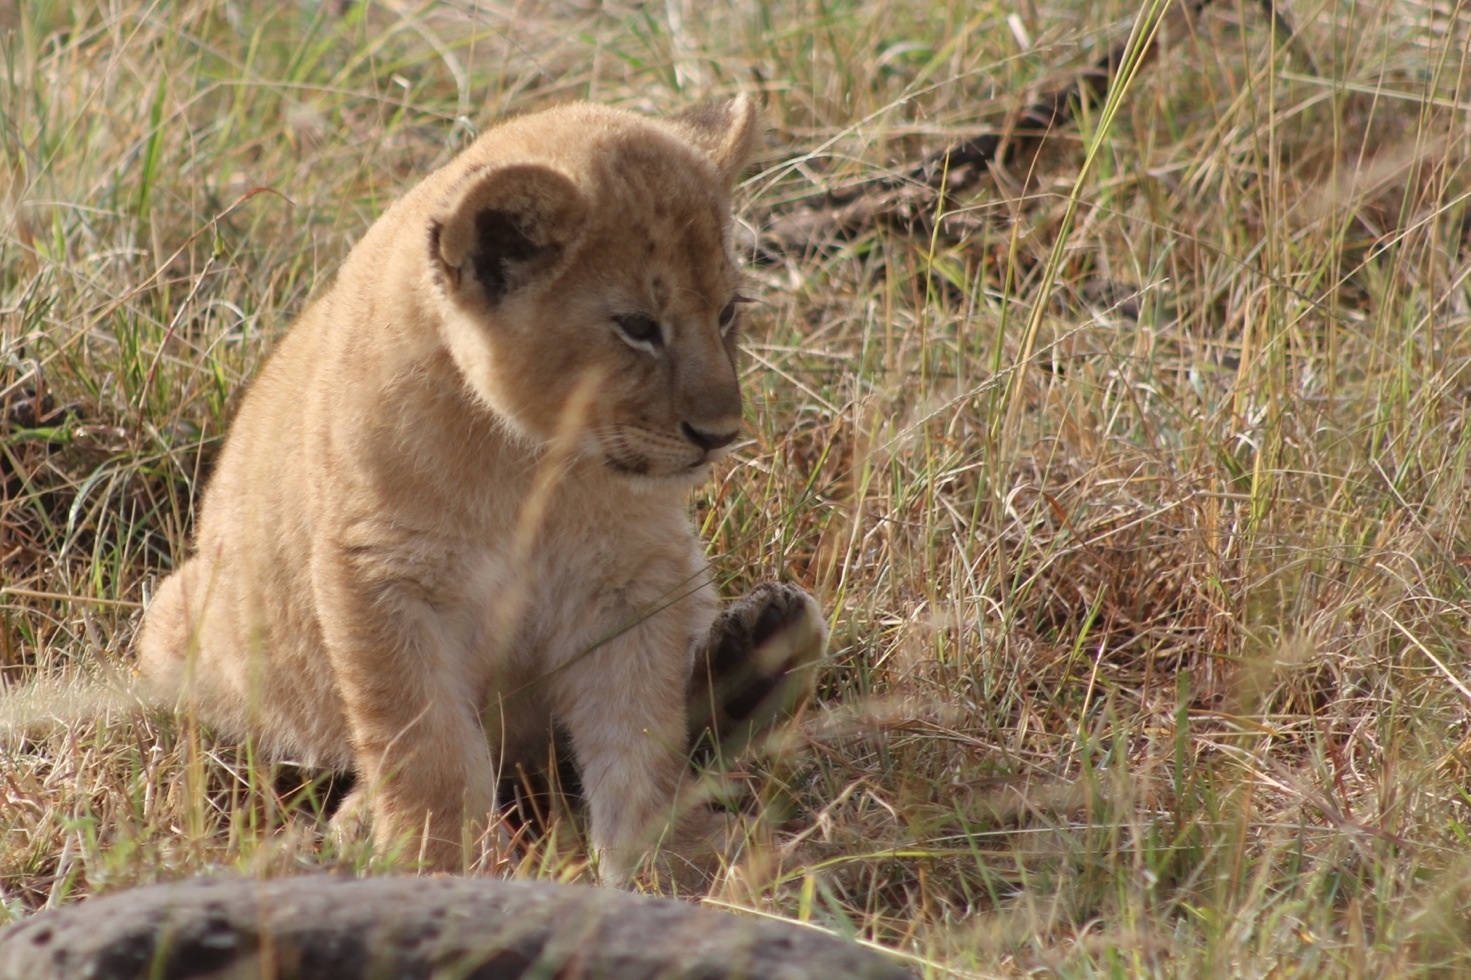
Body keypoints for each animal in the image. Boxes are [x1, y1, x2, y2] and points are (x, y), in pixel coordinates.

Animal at [135, 95, 827, 887]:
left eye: (726, 312)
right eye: (637, 327)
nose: (720, 433)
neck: (534, 466)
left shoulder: (631, 578)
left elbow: (640, 731)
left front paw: (672, 865)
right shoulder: (379, 576)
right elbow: (422, 741)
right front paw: (442, 865)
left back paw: (756, 648)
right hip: (177, 618)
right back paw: (356, 824)